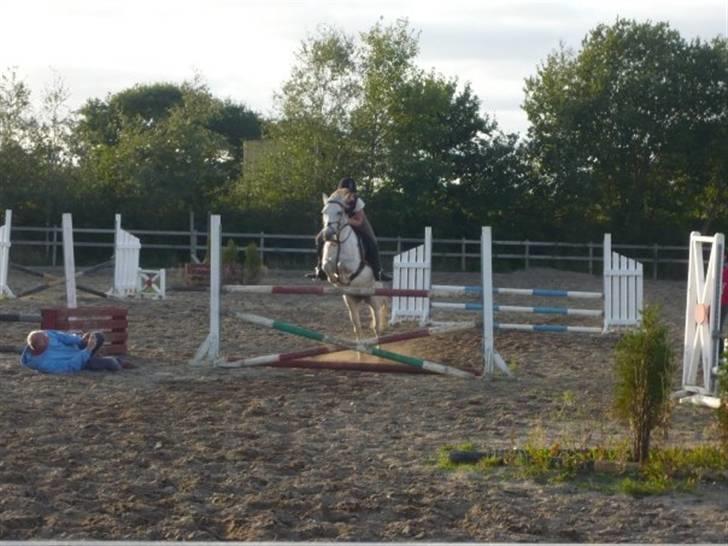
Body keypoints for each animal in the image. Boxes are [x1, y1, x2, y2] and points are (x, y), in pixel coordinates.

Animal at [318, 189, 386, 338]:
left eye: (339, 212)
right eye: (323, 212)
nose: (327, 235)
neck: (338, 242)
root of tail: (362, 298)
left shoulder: (354, 264)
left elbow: (342, 264)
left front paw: (343, 278)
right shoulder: (327, 262)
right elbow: (327, 266)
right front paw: (334, 279)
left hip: (374, 299)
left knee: (377, 324)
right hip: (351, 301)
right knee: (357, 327)